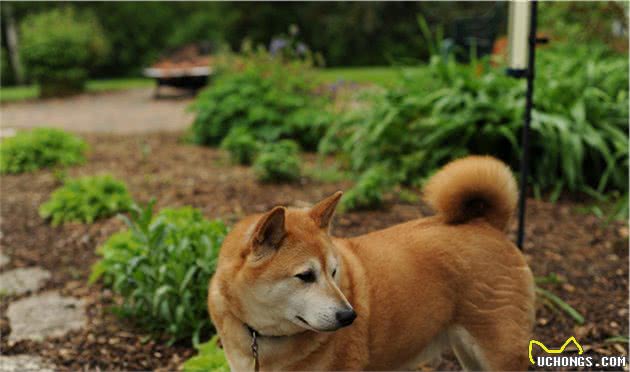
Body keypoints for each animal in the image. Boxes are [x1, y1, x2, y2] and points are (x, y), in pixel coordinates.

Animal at [210, 155, 536, 370]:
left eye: (333, 272)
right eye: (305, 275)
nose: (349, 316)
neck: (262, 337)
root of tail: (487, 225)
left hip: (498, 353)